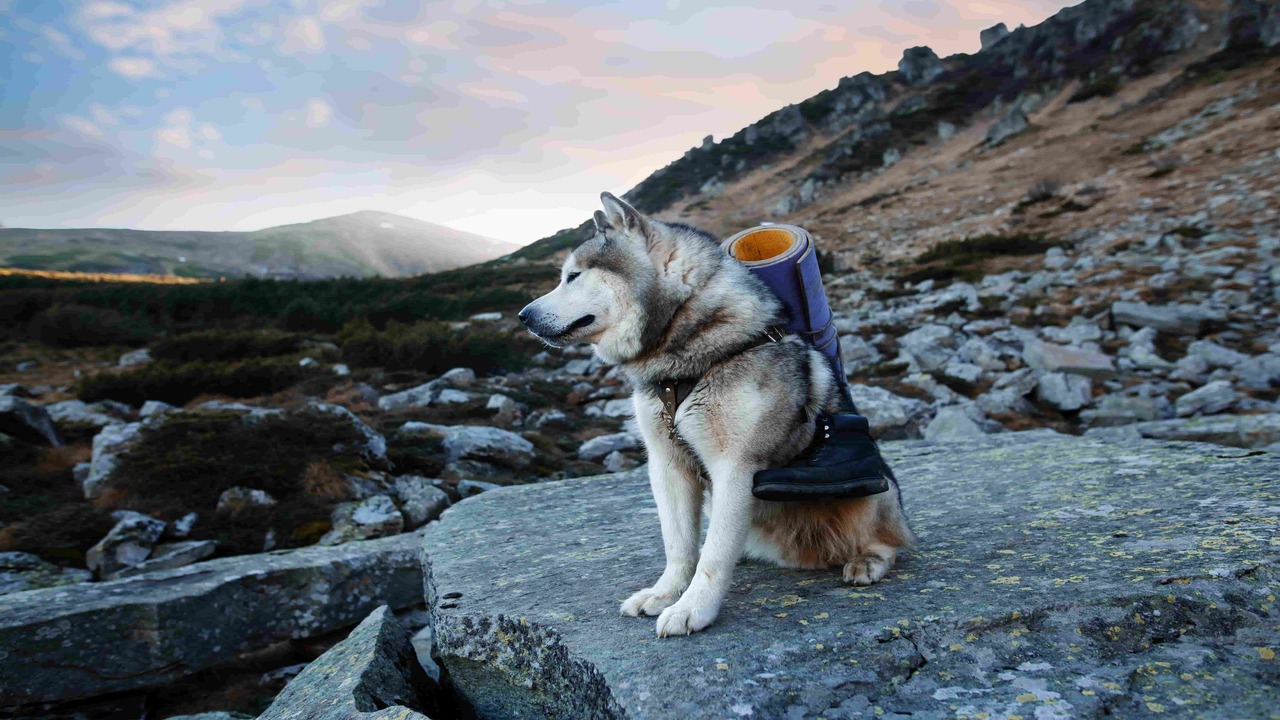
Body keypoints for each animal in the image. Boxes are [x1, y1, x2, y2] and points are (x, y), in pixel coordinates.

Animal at [519, 192, 911, 632]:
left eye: (574, 276)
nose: (523, 316)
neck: (686, 362)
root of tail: (808, 555)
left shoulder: (735, 468)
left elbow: (714, 553)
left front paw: (692, 608)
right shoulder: (667, 465)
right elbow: (679, 545)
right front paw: (665, 593)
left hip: (876, 491)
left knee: (890, 539)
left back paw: (867, 560)